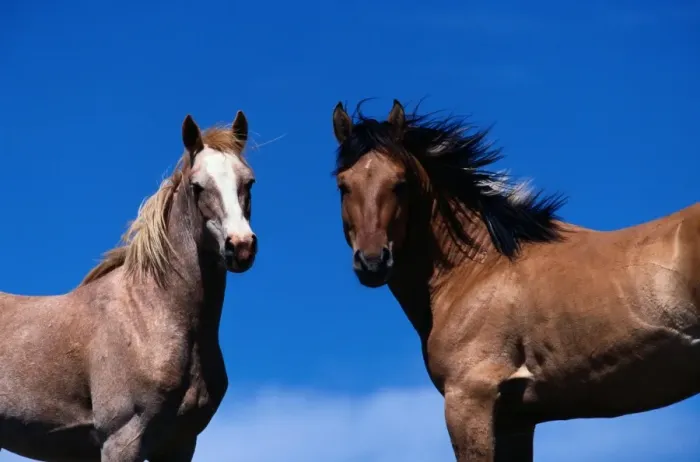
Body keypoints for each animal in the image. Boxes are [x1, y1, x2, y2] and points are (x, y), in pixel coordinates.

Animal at [0, 111, 257, 462]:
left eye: (249, 182)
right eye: (197, 186)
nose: (241, 246)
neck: (150, 313)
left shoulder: (179, 444)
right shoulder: (122, 439)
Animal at [330, 99, 700, 462]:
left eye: (401, 183)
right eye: (343, 186)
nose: (373, 261)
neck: (480, 268)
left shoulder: (469, 399)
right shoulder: (516, 420)